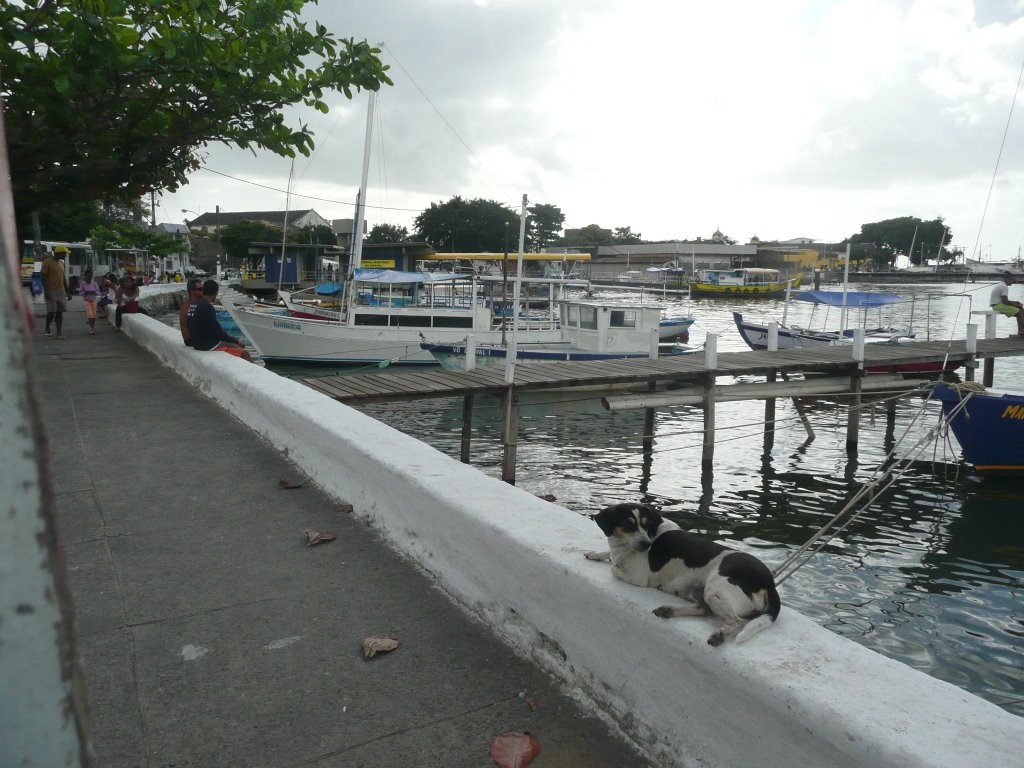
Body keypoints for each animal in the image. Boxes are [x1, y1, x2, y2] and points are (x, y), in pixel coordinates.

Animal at [589, 501, 778, 647]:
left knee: (736, 620)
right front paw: (594, 554)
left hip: (715, 590)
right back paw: (668, 611)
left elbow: (614, 567)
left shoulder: (638, 577)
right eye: (628, 524)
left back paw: (719, 635)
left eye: (646, 524)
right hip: (701, 592)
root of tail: (769, 582)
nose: (647, 545)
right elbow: (609, 555)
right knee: (703, 609)